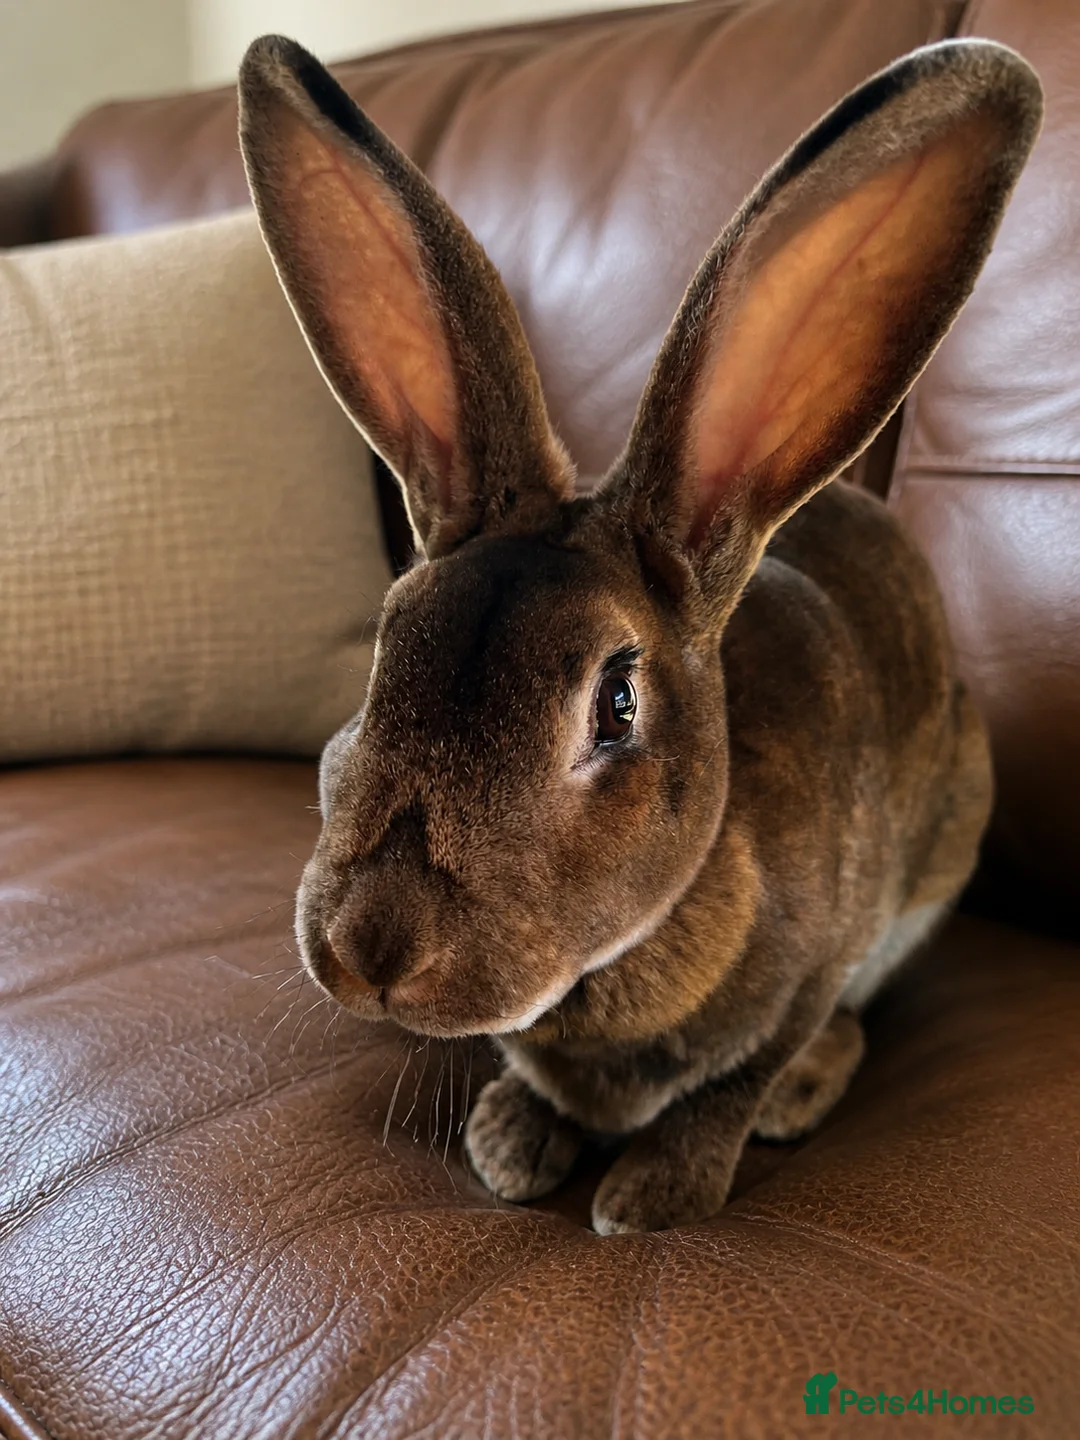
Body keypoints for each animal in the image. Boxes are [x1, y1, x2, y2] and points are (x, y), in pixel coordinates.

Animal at [238, 34, 1041, 1233]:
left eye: (617, 704)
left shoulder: (817, 965)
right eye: (387, 649)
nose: (373, 949)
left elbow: (733, 1084)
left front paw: (654, 1196)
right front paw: (513, 1144)